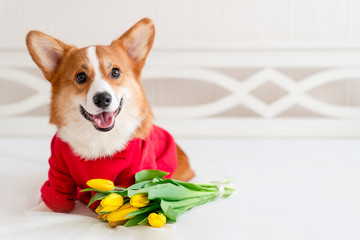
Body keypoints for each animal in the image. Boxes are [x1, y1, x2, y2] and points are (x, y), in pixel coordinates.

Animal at [26, 17, 194, 213]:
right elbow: (55, 197)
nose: (102, 99)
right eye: (80, 77)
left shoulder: (138, 170)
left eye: (115, 72)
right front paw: (39, 210)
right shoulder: (58, 170)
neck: (98, 138)